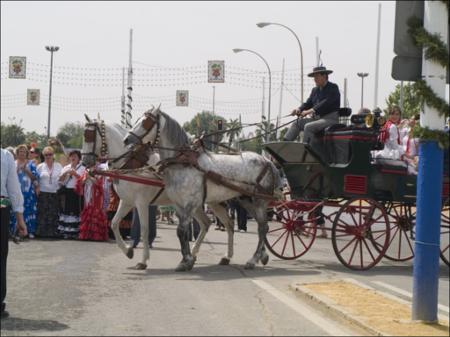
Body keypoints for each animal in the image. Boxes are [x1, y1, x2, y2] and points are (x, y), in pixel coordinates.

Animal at [81, 117, 236, 270]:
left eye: (89, 136)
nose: (84, 162)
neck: (132, 164)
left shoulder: (141, 203)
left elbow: (144, 230)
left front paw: (143, 261)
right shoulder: (127, 202)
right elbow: (113, 223)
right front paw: (128, 251)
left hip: (208, 203)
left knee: (225, 224)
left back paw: (223, 256)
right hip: (200, 204)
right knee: (210, 223)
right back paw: (197, 255)